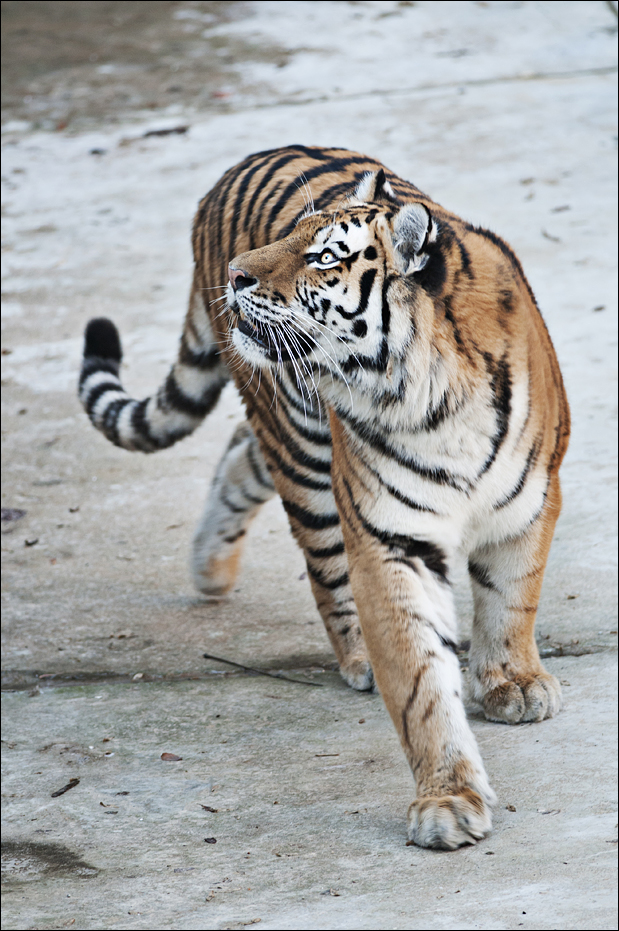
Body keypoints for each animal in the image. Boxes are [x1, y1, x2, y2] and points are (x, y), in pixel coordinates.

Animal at [78, 145, 570, 850]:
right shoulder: (390, 539)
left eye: (324, 256)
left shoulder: (527, 503)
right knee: (320, 560)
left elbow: (511, 604)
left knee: (240, 455)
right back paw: (344, 647)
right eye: (293, 237)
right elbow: (420, 680)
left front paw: (515, 686)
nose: (239, 275)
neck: (427, 395)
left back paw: (209, 568)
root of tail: (228, 174)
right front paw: (447, 800)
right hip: (303, 448)